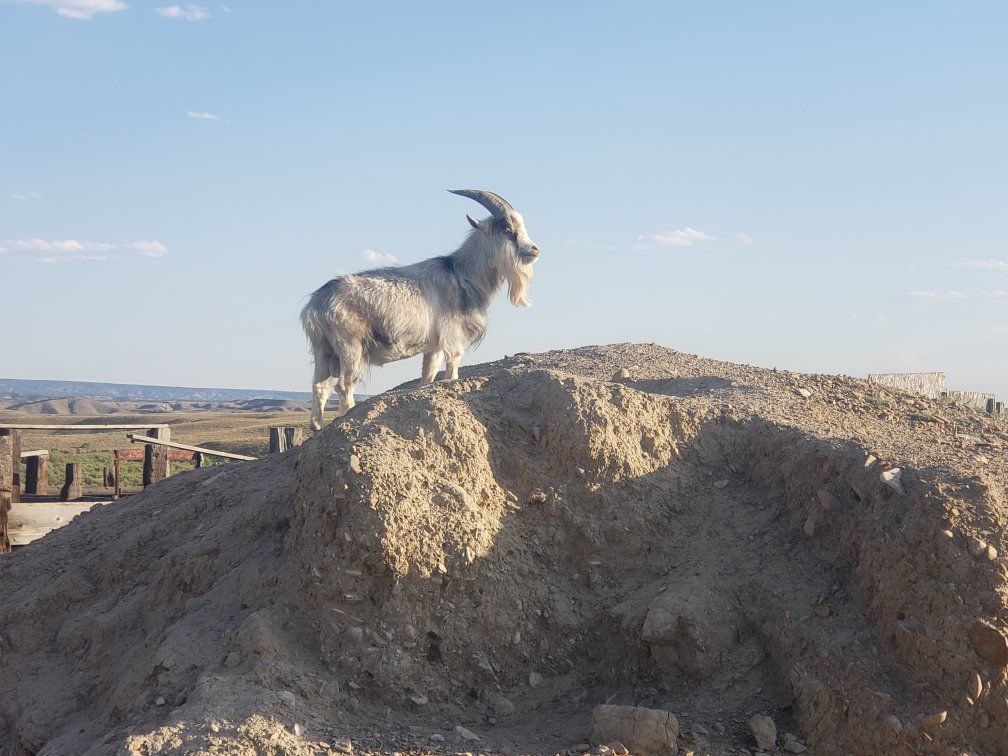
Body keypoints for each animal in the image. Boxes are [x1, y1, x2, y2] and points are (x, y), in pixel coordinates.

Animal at [301, 189, 540, 430]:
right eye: (507, 230)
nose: (534, 249)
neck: (461, 274)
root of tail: (316, 305)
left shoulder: (433, 346)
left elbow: (428, 376)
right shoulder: (452, 339)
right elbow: (451, 371)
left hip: (322, 347)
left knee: (319, 385)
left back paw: (317, 426)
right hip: (349, 345)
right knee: (344, 384)